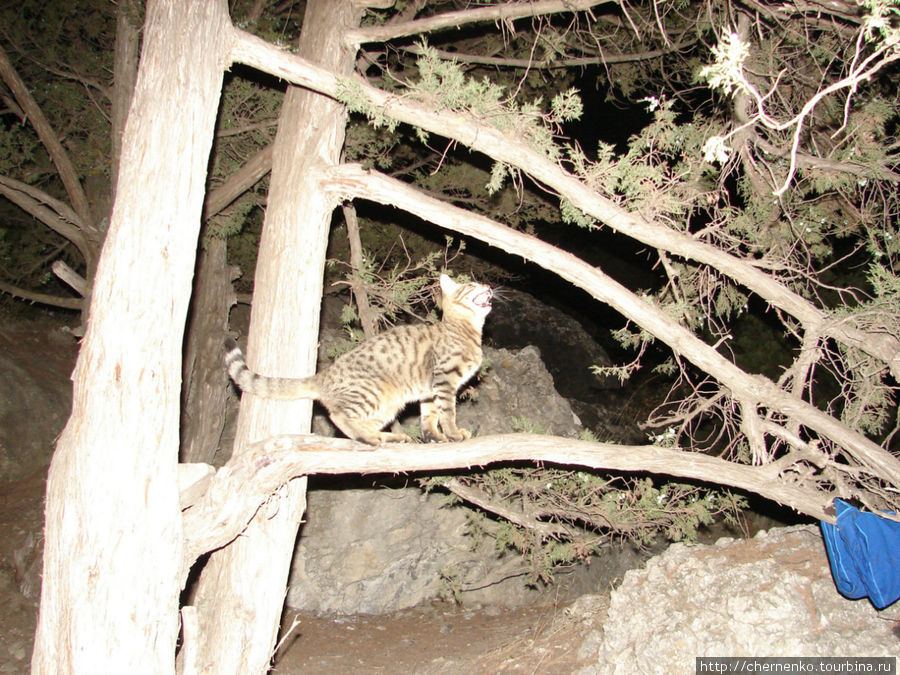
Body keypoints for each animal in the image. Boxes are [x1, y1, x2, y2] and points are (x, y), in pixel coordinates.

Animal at [225, 272, 492, 446]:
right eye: (472, 284)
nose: (488, 286)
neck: (467, 328)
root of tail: (323, 375)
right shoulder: (445, 378)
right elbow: (447, 412)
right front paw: (453, 433)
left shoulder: (429, 389)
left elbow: (429, 416)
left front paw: (434, 437)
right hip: (373, 393)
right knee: (339, 416)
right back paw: (370, 438)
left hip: (389, 405)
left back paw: (388, 436)